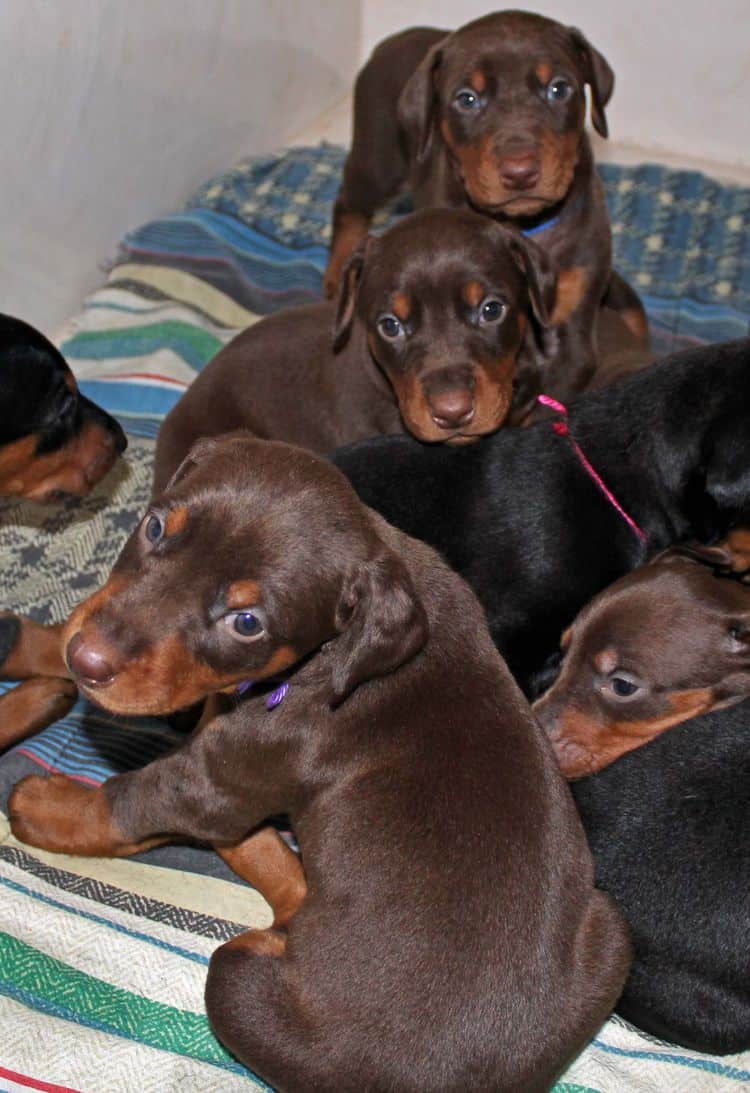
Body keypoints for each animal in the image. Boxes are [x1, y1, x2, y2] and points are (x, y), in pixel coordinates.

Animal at [7, 435, 629, 1093]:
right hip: (611, 928)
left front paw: (45, 806)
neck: (334, 656)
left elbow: (130, 801)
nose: (85, 660)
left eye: (246, 623)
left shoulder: (214, 781)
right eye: (153, 527)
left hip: (232, 982)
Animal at [325, 7, 647, 397]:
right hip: (379, 156)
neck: (526, 225)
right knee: (349, 203)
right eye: (467, 99)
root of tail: (393, 40)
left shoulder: (574, 331)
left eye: (559, 89)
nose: (520, 172)